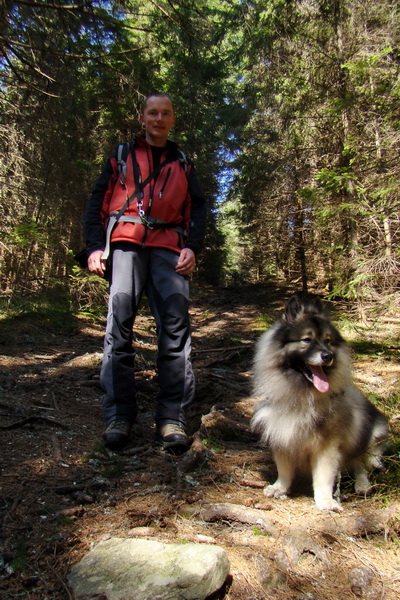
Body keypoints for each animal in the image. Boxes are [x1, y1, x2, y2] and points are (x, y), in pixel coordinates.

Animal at [252, 292, 390, 510]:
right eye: (307, 340)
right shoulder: (282, 434)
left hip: (370, 436)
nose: (328, 355)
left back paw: (363, 485)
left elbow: (323, 476)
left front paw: (325, 500)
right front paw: (279, 488)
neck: (301, 396)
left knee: (360, 465)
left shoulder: (328, 446)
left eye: (328, 341)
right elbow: (284, 469)